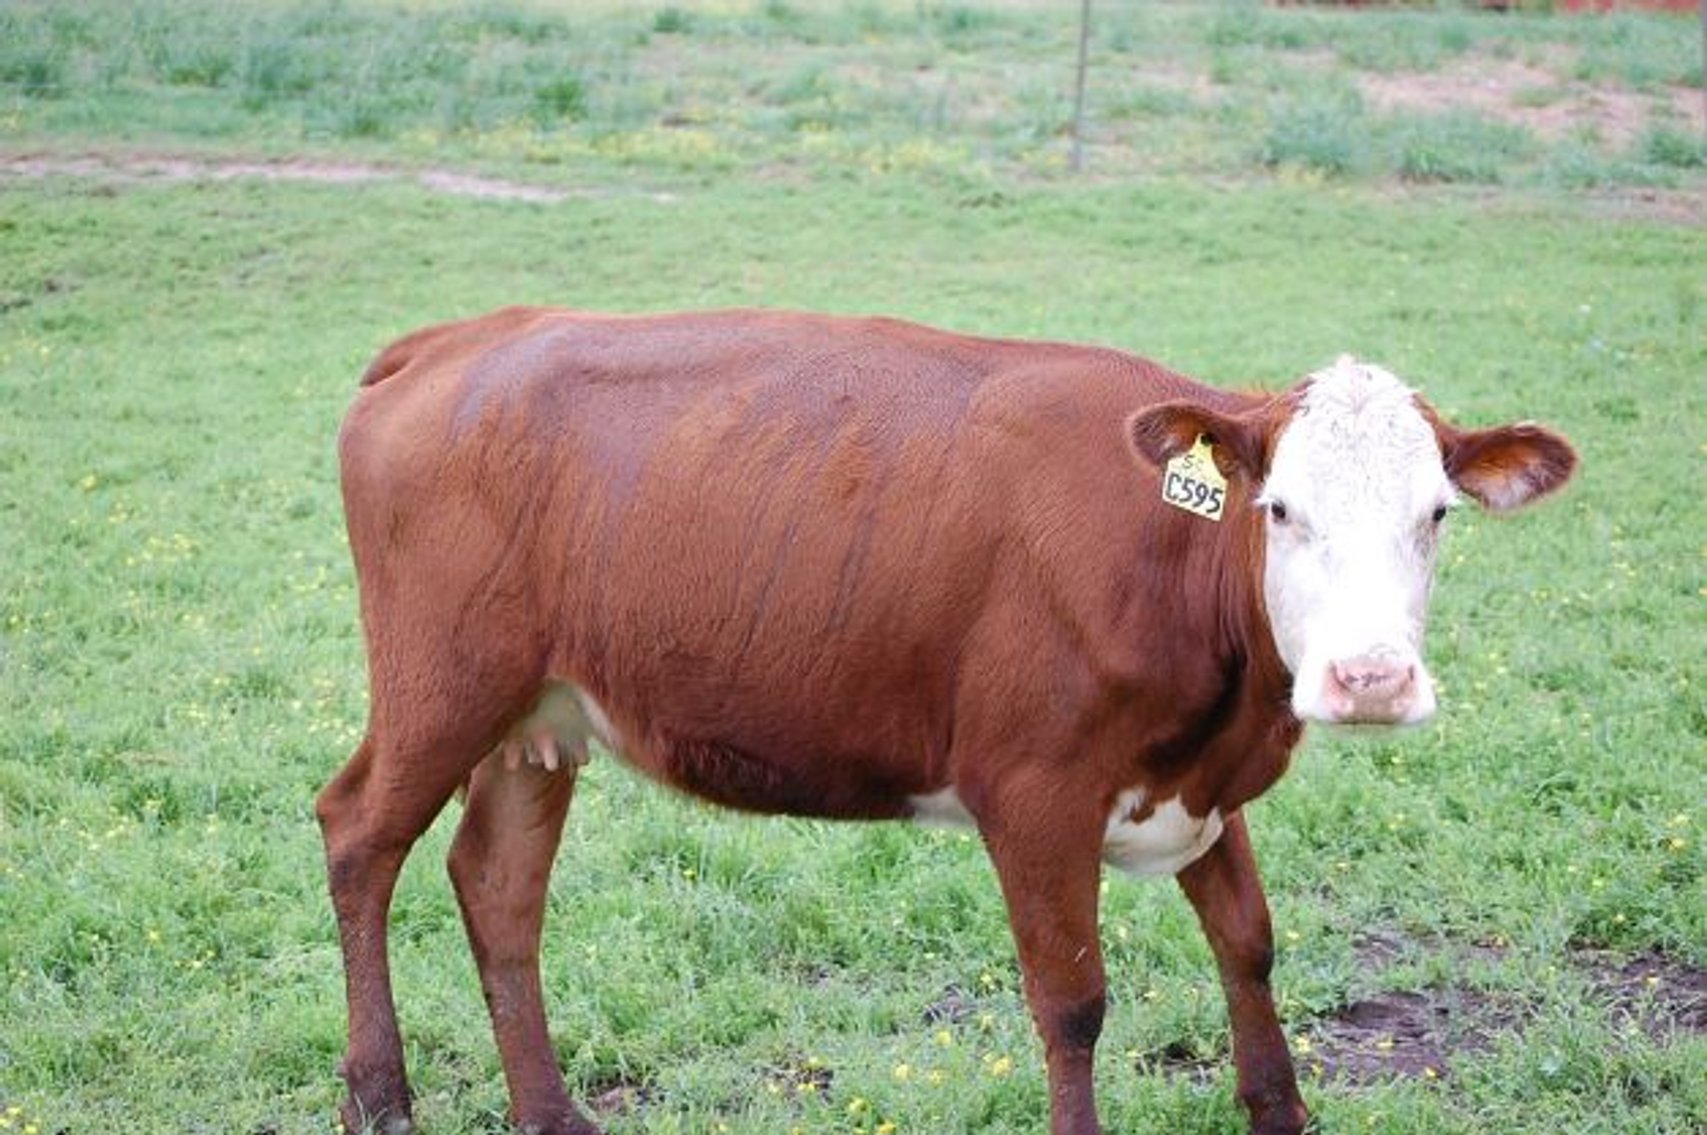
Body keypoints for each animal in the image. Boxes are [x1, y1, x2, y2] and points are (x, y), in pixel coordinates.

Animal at [318, 307, 1576, 1135]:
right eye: (1278, 509)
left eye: (1437, 513)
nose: (1370, 677)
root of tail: (464, 336)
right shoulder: (1034, 792)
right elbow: (1073, 1003)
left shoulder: (1199, 787)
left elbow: (1251, 945)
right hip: (442, 681)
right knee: (358, 835)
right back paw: (380, 1096)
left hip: (540, 715)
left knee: (497, 883)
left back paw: (551, 1110)